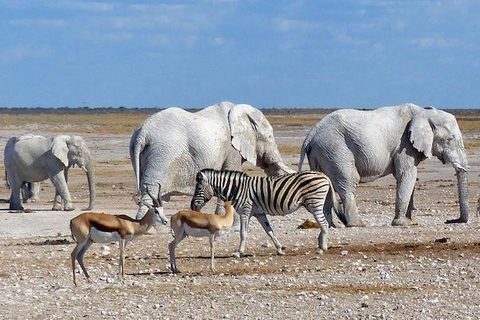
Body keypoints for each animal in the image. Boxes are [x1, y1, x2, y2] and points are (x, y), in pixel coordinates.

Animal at [129, 99, 294, 218]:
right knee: (152, 189)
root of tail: (142, 134)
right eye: (270, 136)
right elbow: (231, 172)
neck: (239, 111)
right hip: (162, 154)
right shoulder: (231, 149)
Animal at [189, 169, 340, 256]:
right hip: (318, 203)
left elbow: (243, 232)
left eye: (198, 188)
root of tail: (323, 175)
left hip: (314, 203)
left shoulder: (245, 211)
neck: (237, 188)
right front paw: (279, 249)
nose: (192, 206)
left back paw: (321, 249)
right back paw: (321, 244)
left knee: (324, 223)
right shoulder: (259, 214)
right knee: (325, 221)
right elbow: (269, 231)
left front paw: (239, 252)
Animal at [300, 104, 468, 226]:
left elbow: (408, 178)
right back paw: (357, 224)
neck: (424, 112)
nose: (451, 221)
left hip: (322, 153)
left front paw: (411, 221)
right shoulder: (404, 145)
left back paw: (331, 225)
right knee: (348, 183)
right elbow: (407, 175)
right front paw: (403, 223)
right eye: (450, 139)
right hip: (335, 150)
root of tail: (310, 135)